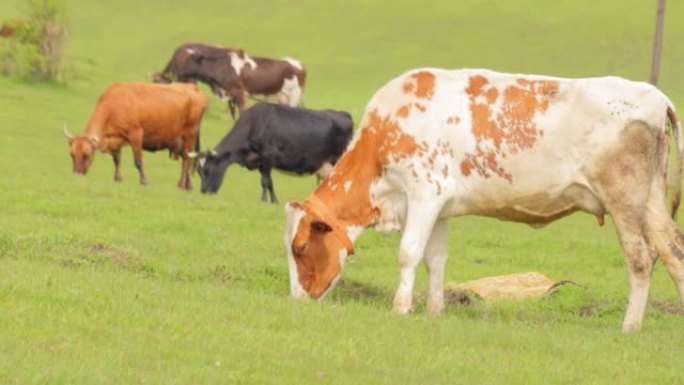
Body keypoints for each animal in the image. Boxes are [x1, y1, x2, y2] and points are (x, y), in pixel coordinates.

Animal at [65, 82, 207, 190]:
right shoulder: (116, 140)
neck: (113, 105)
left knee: (186, 159)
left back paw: (182, 184)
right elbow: (117, 159)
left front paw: (144, 181)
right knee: (187, 158)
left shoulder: (136, 135)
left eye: (87, 155)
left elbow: (138, 161)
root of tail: (192, 87)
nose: (77, 174)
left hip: (189, 134)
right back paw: (187, 185)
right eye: (72, 155)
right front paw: (117, 178)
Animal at [155, 42, 308, 118]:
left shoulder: (238, 92)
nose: (177, 70)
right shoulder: (230, 95)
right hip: (282, 97)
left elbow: (242, 112)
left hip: (293, 95)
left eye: (190, 60)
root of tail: (296, 64)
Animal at [192, 102, 352, 204]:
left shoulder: (268, 155)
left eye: (207, 169)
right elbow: (265, 182)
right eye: (198, 172)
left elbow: (266, 181)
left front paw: (269, 201)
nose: (203, 191)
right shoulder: (260, 161)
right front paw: (268, 199)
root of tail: (344, 114)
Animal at [284, 67, 684, 332]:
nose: (297, 301)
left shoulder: (425, 191)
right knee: (673, 251)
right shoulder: (440, 206)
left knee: (640, 258)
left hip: (624, 199)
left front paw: (400, 308)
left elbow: (408, 253)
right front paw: (434, 310)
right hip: (652, 199)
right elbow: (435, 260)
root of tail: (654, 95)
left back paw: (629, 326)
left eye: (301, 248)